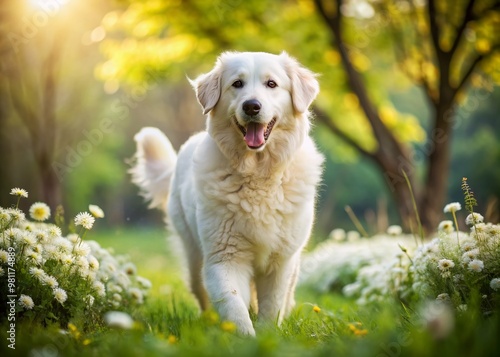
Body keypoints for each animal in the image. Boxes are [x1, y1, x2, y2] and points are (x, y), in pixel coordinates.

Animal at [131, 51, 322, 336]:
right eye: (237, 84)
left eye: (272, 84)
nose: (252, 106)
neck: (258, 174)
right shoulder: (224, 258)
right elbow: (233, 305)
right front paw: (246, 337)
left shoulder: (280, 262)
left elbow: (272, 306)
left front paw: (269, 336)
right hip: (194, 258)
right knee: (203, 294)